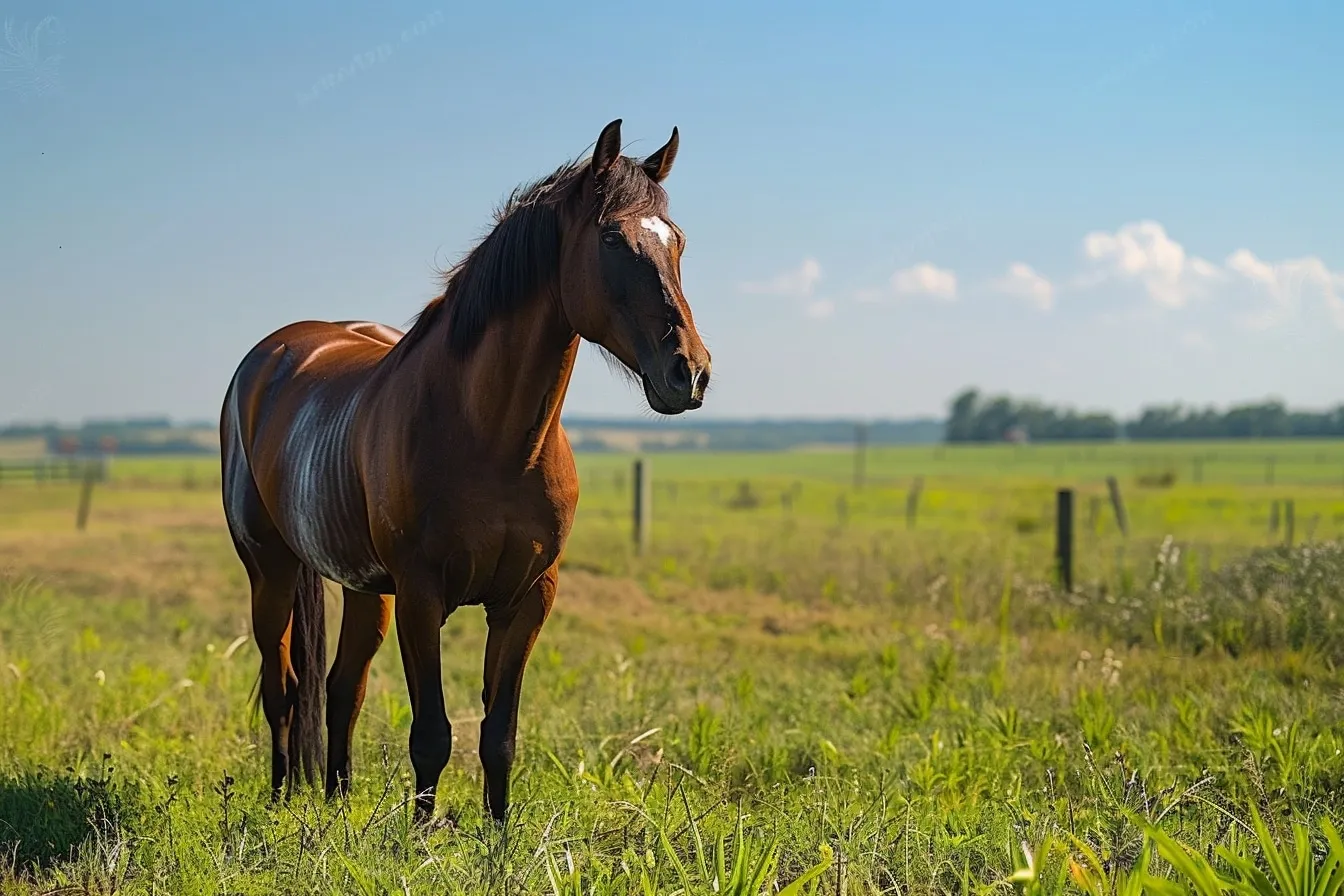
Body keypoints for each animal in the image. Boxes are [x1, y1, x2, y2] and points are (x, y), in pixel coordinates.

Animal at [219, 118, 711, 826]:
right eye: (613, 239)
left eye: (678, 243)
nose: (690, 373)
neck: (495, 441)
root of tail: (275, 353)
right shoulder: (422, 596)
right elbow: (432, 734)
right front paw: (421, 839)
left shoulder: (526, 599)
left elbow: (498, 734)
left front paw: (497, 836)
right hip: (272, 570)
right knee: (282, 687)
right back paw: (285, 798)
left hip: (366, 589)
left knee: (342, 688)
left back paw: (338, 803)